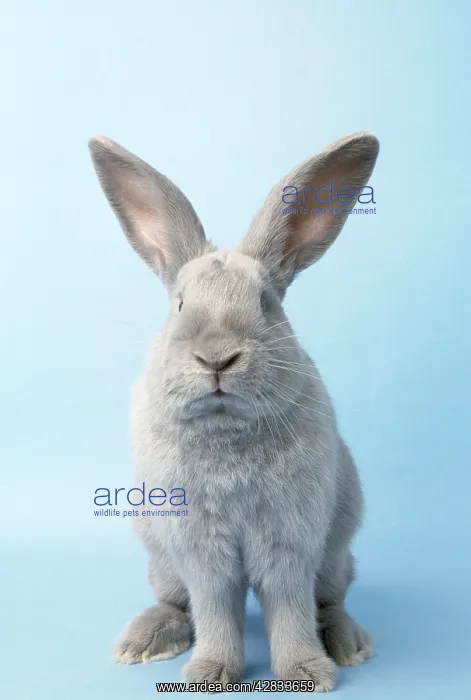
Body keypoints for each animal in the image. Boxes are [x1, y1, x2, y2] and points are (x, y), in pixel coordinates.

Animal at [89, 131, 379, 691]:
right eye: (180, 304)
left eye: (266, 302)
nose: (217, 358)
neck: (226, 429)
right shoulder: (200, 550)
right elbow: (214, 609)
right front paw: (210, 674)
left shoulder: (290, 542)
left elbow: (289, 609)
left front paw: (306, 674)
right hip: (161, 559)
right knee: (176, 604)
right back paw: (143, 643)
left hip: (335, 554)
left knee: (330, 600)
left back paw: (349, 644)